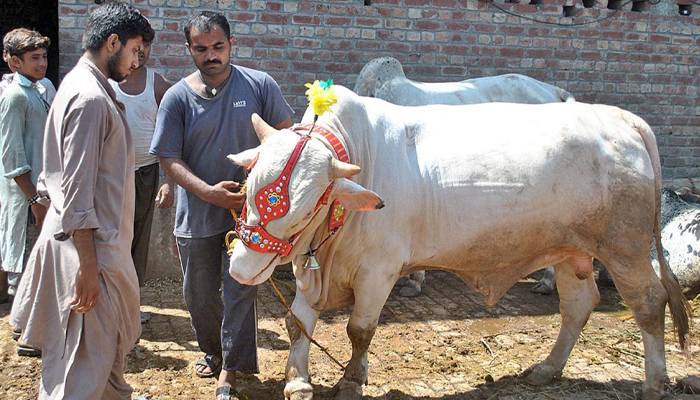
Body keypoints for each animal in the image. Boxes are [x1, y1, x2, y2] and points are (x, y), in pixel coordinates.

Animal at [228, 86, 688, 400]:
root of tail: (622, 119)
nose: (241, 269)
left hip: (624, 248)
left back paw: (654, 383)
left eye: (304, 209)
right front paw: (298, 381)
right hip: (570, 250)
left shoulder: (379, 271)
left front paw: (352, 381)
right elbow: (297, 322)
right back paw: (547, 368)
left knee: (649, 302)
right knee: (578, 304)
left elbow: (360, 330)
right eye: (249, 188)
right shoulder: (312, 270)